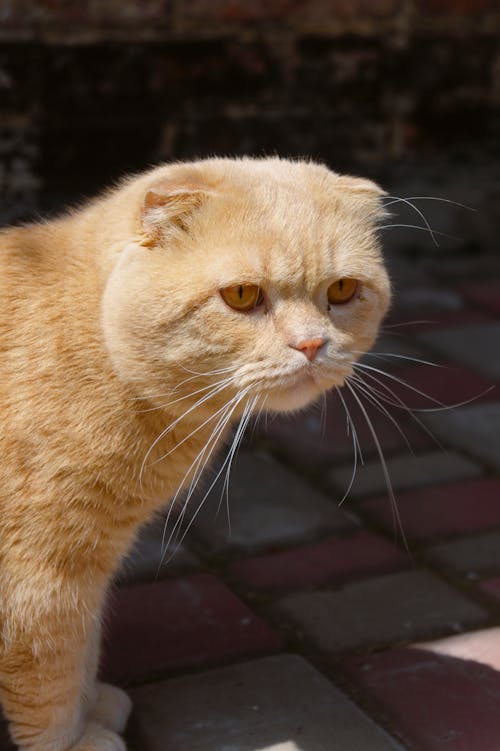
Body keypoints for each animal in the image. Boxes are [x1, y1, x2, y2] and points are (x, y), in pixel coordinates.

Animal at [0, 156, 390, 748]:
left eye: (343, 290)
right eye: (243, 296)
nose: (311, 344)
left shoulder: (86, 568)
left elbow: (82, 649)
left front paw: (93, 709)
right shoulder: (38, 575)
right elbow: (51, 678)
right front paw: (74, 740)